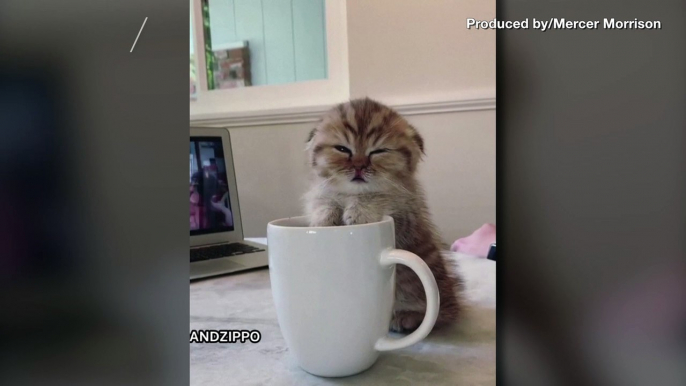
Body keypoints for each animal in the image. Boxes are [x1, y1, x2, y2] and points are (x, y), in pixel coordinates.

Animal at [306, 96, 462, 332]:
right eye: (342, 149)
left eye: (378, 151)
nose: (359, 167)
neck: (352, 193)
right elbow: (321, 200)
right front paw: (324, 215)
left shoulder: (407, 218)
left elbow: (381, 196)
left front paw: (360, 210)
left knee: (436, 316)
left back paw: (407, 317)